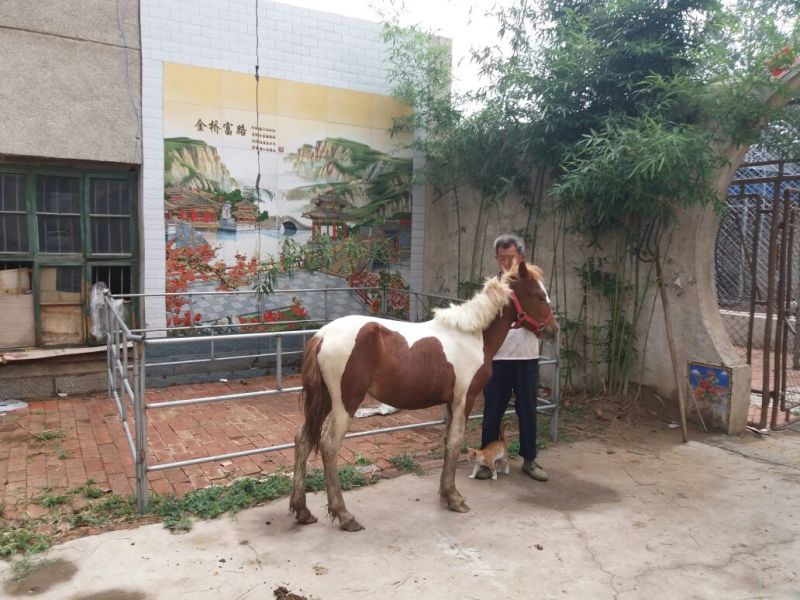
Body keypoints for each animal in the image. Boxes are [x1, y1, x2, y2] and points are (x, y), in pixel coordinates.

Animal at [289, 260, 558, 531]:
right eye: (539, 295)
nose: (553, 330)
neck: (473, 337)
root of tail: (322, 335)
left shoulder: (451, 402)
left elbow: (447, 442)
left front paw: (445, 495)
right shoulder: (464, 398)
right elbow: (455, 442)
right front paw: (455, 499)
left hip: (324, 400)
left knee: (303, 439)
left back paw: (302, 511)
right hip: (345, 403)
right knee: (329, 445)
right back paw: (345, 516)